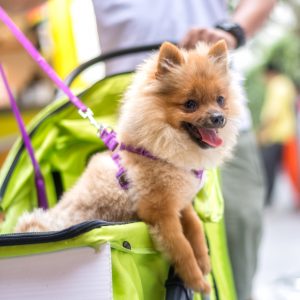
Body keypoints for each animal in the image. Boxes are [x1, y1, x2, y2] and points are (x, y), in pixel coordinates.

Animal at [15, 39, 243, 292]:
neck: (160, 154)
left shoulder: (180, 202)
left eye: (220, 100)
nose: (218, 117)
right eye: (190, 104)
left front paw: (203, 260)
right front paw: (197, 280)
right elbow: (182, 247)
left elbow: (195, 226)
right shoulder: (159, 211)